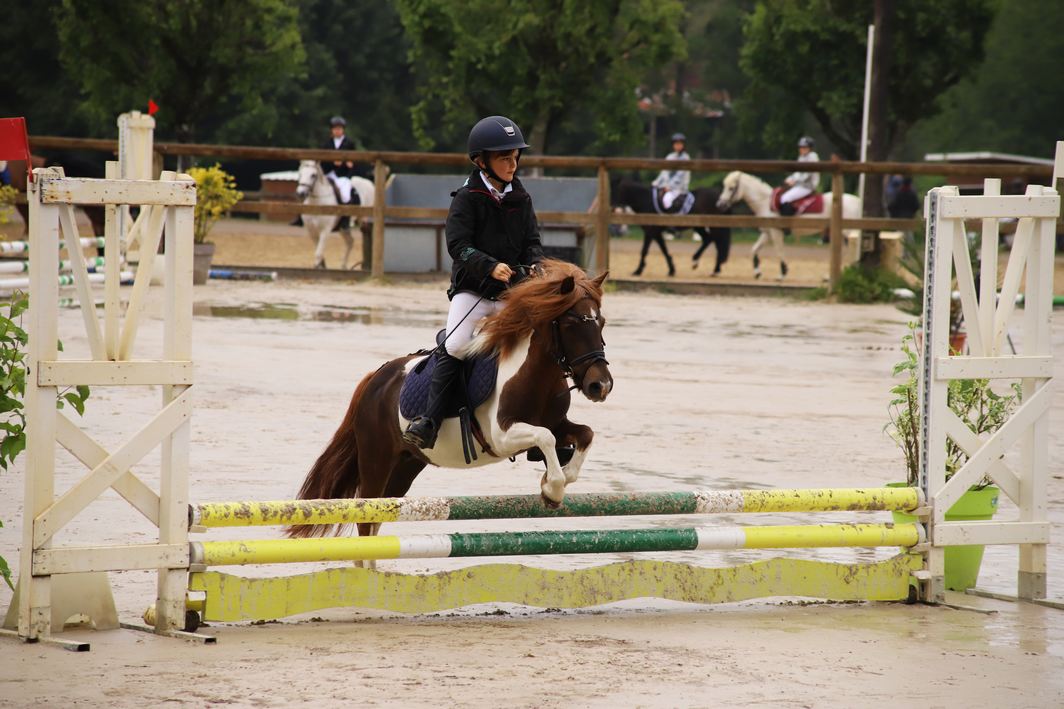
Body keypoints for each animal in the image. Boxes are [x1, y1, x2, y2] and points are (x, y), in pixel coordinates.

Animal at [287, 259, 612, 540]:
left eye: (602, 323)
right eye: (571, 325)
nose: (601, 385)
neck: (535, 373)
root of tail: (377, 377)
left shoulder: (557, 423)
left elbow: (585, 434)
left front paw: (557, 481)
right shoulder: (502, 435)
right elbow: (545, 437)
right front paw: (552, 489)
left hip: (405, 465)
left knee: (380, 516)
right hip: (376, 459)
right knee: (367, 520)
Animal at [710, 170, 859, 278]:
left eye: (731, 188)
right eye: (725, 186)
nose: (719, 205)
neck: (765, 203)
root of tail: (856, 200)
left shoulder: (776, 232)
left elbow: (779, 251)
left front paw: (783, 272)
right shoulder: (767, 233)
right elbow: (754, 249)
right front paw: (757, 272)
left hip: (847, 231)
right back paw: (831, 276)